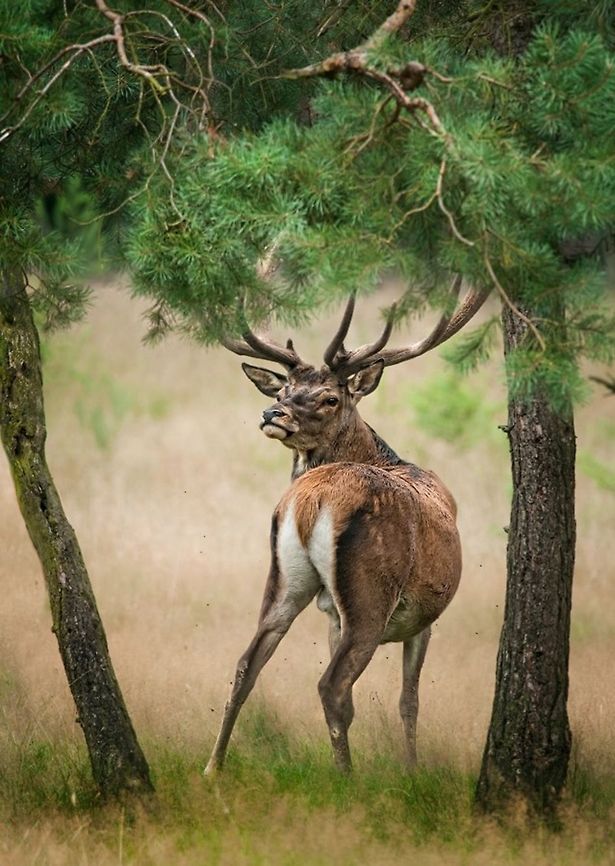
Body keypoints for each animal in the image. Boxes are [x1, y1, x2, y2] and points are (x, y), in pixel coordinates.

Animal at [205, 277, 489, 774]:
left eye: (329, 397)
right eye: (281, 393)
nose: (272, 414)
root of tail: (311, 500)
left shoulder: (330, 614)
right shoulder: (424, 615)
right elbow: (409, 700)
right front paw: (412, 769)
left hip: (286, 578)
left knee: (246, 664)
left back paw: (212, 767)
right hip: (370, 594)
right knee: (332, 686)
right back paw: (347, 779)